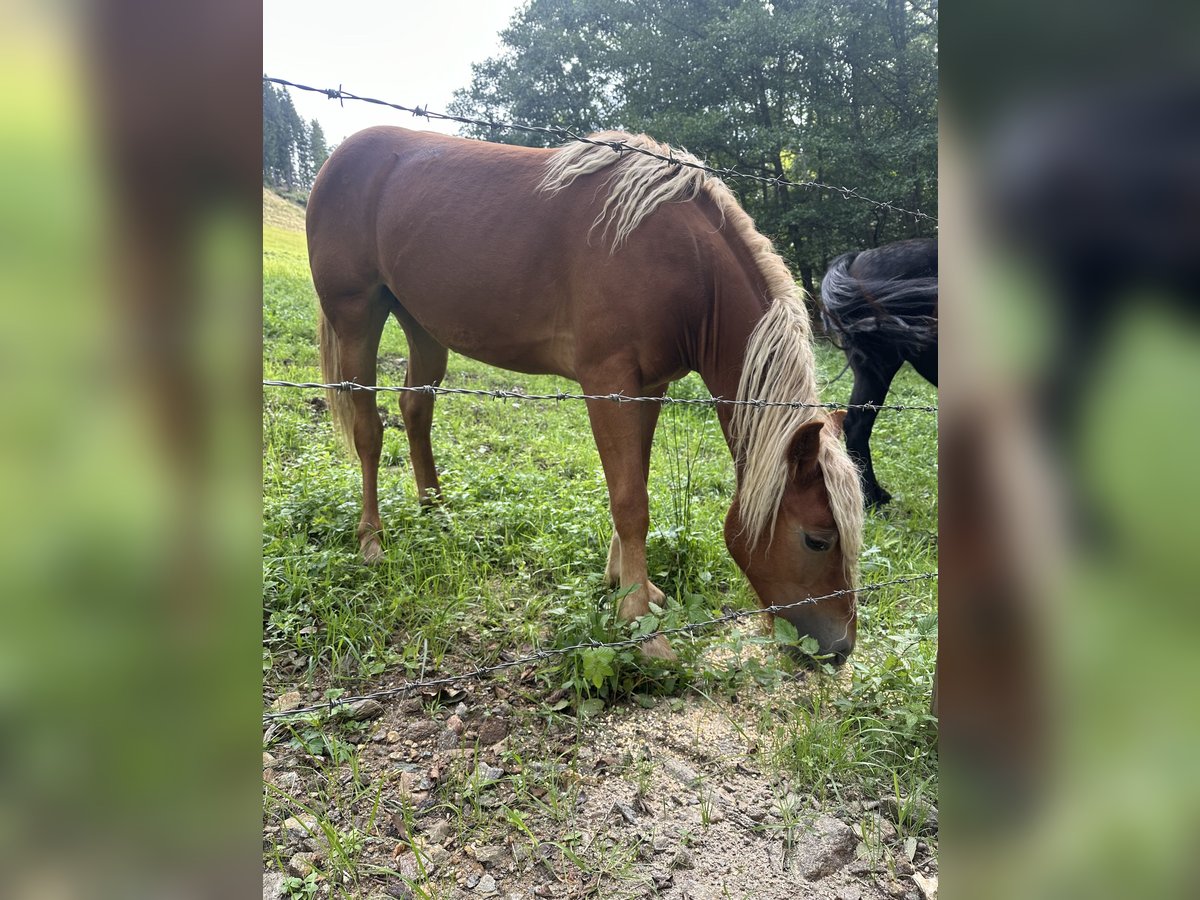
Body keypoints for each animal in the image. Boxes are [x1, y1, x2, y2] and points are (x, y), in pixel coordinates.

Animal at [304, 127, 859, 662]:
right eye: (818, 540)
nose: (840, 650)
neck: (682, 262)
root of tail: (340, 155)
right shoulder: (608, 384)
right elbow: (631, 500)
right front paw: (639, 624)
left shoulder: (649, 387)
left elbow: (635, 481)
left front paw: (629, 588)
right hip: (356, 317)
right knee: (369, 430)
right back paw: (371, 541)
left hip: (422, 326)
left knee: (415, 409)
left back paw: (435, 512)